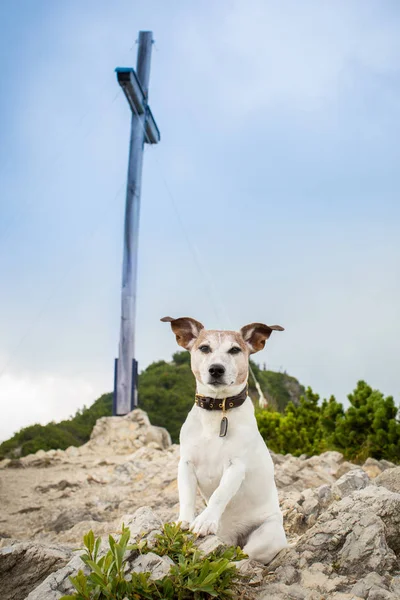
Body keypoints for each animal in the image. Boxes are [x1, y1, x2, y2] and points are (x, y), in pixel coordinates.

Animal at [160, 316, 288, 564]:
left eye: (235, 350)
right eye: (204, 348)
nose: (216, 369)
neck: (217, 411)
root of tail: (233, 537)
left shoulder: (236, 467)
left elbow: (220, 494)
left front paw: (205, 520)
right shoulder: (185, 464)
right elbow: (186, 496)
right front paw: (185, 521)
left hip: (267, 536)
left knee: (242, 556)